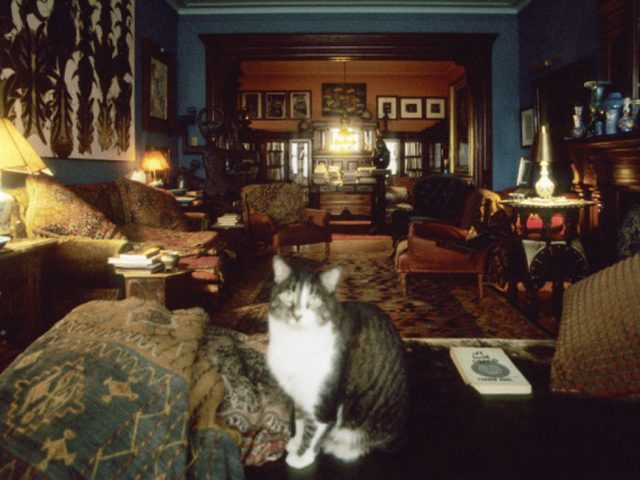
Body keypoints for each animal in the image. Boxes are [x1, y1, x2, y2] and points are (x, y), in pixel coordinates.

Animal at [266, 255, 408, 468]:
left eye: (314, 300)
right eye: (288, 296)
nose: (297, 315)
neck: (297, 340)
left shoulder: (322, 401)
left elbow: (312, 431)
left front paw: (301, 458)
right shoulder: (299, 394)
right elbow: (299, 421)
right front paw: (295, 442)